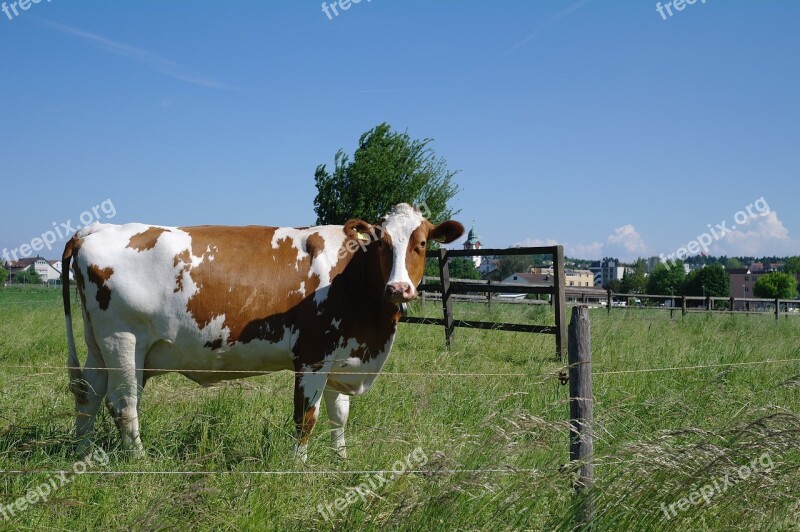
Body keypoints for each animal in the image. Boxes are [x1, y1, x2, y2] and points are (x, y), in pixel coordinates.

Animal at [62, 204, 462, 462]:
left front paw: (342, 462)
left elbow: (339, 415)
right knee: (123, 404)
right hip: (123, 341)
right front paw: (298, 469)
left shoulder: (340, 356)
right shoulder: (313, 356)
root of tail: (97, 228)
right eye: (381, 243)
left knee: (88, 395)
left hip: (98, 345)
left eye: (421, 243)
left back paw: (82, 456)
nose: (399, 288)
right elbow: (306, 418)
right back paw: (140, 461)